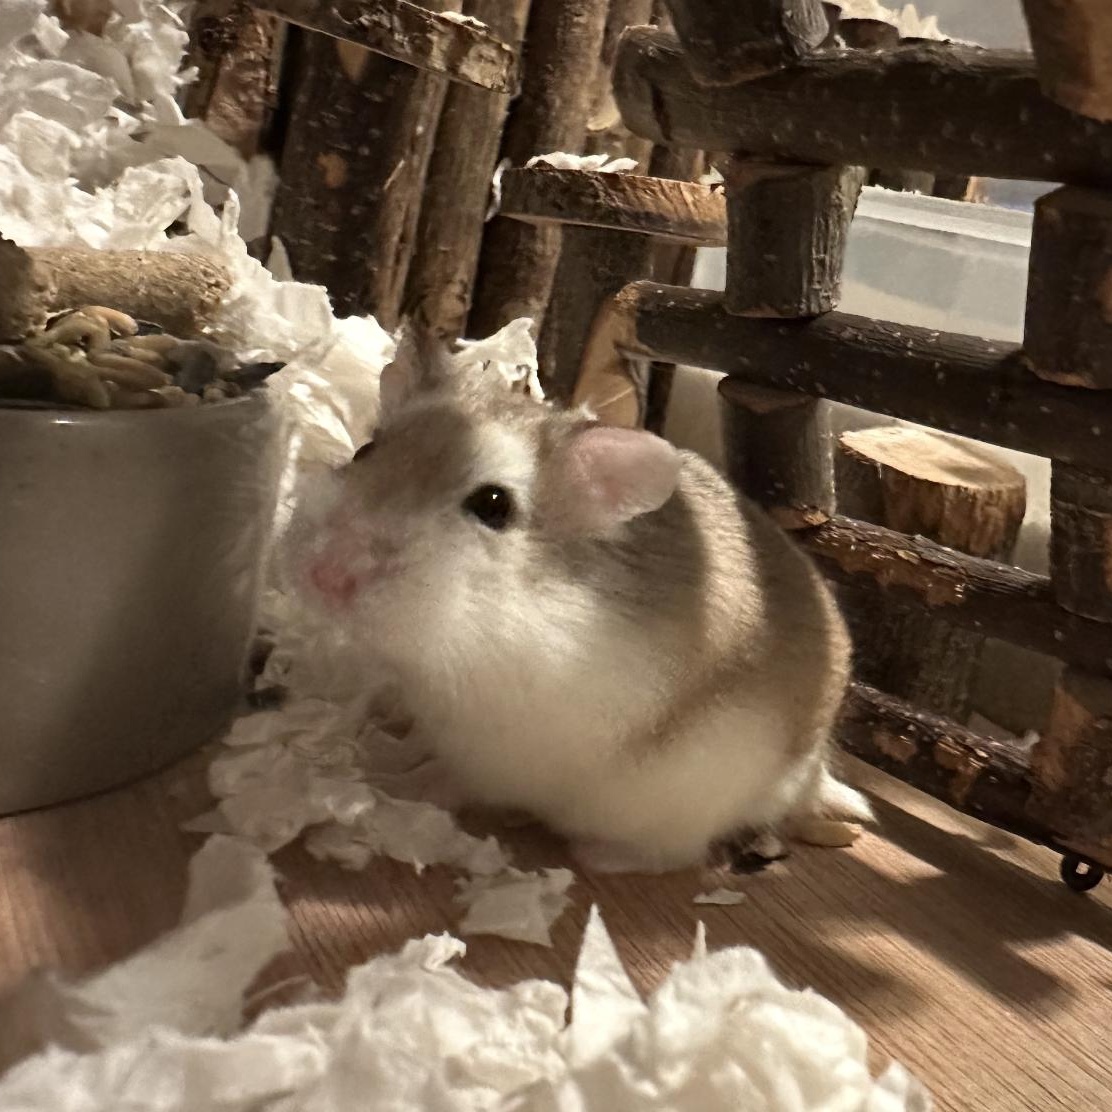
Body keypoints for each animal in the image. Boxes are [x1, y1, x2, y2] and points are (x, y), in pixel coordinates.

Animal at [303, 329, 871, 873]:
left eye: (493, 505)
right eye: (363, 453)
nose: (323, 574)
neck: (480, 631)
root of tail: (806, 777)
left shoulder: (496, 756)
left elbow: (444, 780)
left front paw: (383, 784)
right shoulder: (435, 718)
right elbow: (418, 744)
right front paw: (378, 752)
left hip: (672, 807)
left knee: (676, 857)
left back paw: (594, 855)